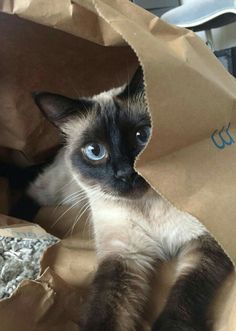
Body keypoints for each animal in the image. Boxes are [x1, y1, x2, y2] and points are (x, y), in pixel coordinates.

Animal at [28, 68, 233, 331]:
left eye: (142, 136)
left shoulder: (205, 240)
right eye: (95, 151)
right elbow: (105, 312)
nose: (126, 173)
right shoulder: (124, 258)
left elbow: (187, 292)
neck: (148, 206)